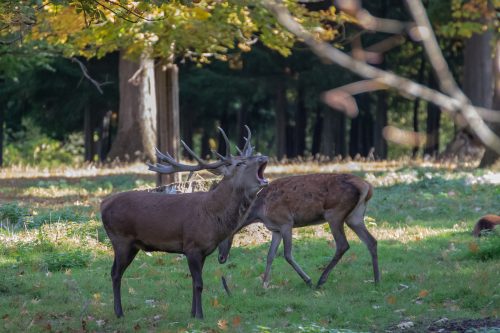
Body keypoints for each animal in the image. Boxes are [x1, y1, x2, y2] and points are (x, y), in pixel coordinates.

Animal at [99, 127, 268, 320]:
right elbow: (199, 284)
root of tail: (103, 205)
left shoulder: (203, 251)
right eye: (240, 164)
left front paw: (193, 314)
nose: (263, 157)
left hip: (132, 244)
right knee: (115, 273)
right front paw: (200, 316)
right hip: (121, 239)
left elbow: (194, 282)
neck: (212, 217)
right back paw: (119, 312)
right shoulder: (192, 246)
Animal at [219, 174, 378, 288]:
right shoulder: (275, 229)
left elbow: (287, 254)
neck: (260, 212)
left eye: (222, 235)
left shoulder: (286, 222)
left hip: (335, 213)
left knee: (343, 244)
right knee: (372, 241)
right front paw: (264, 284)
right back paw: (377, 280)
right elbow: (270, 255)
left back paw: (321, 280)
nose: (221, 258)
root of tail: (367, 186)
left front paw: (308, 280)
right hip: (355, 216)